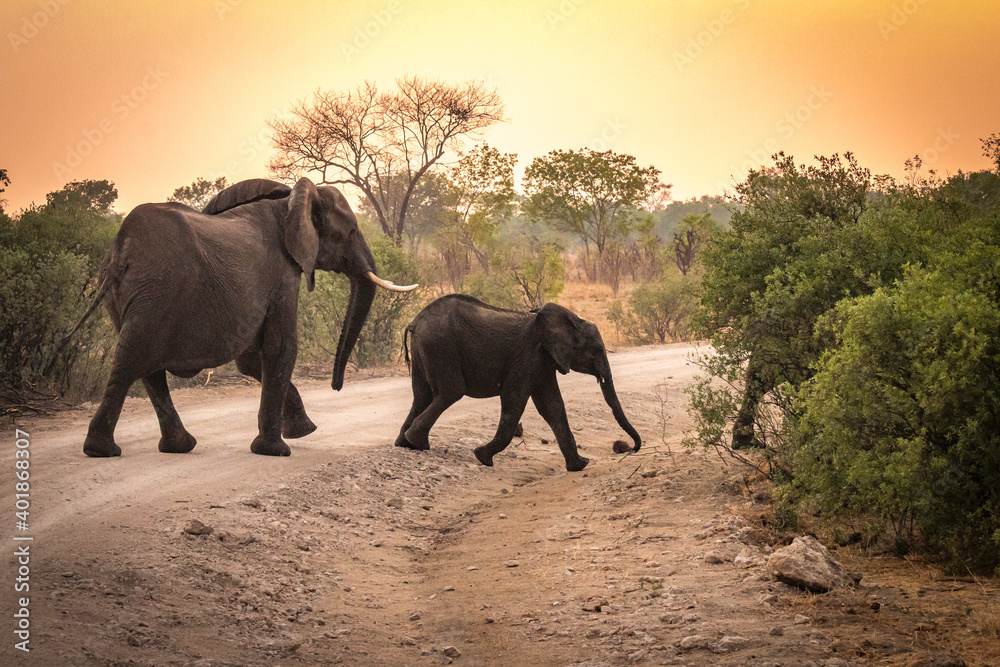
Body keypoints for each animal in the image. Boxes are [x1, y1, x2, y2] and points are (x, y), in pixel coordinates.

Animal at [61, 177, 416, 458]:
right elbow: (281, 348)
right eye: (352, 230)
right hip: (155, 291)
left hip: (125, 297)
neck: (290, 203)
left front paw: (302, 431)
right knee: (133, 361)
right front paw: (277, 450)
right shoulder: (283, 276)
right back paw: (103, 450)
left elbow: (250, 361)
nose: (336, 386)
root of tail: (121, 251)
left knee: (149, 371)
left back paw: (176, 447)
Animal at [394, 294, 641, 471]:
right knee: (450, 392)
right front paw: (482, 457)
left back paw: (406, 444)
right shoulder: (528, 357)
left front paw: (580, 465)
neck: (571, 321)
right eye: (597, 350)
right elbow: (514, 400)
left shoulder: (545, 362)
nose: (632, 449)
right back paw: (417, 442)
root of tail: (414, 322)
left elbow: (552, 407)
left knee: (421, 395)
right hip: (440, 347)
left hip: (426, 348)